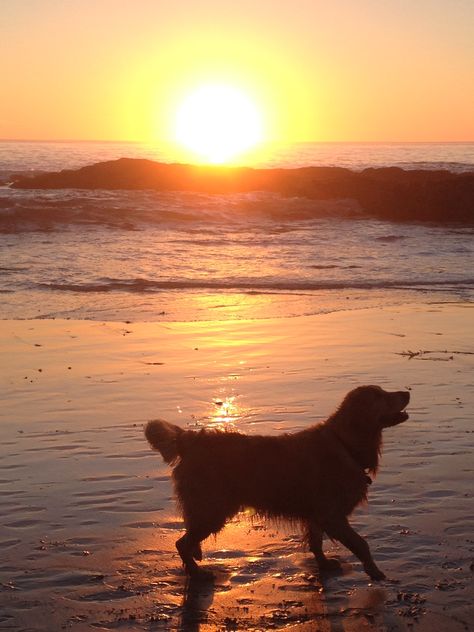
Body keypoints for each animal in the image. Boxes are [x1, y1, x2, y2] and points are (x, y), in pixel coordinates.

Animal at [144, 382, 408, 580]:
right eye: (379, 395)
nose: (407, 392)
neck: (344, 443)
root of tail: (190, 440)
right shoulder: (332, 514)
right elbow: (361, 544)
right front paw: (375, 571)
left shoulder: (317, 514)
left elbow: (316, 542)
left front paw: (323, 564)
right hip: (212, 509)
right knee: (181, 543)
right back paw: (197, 573)